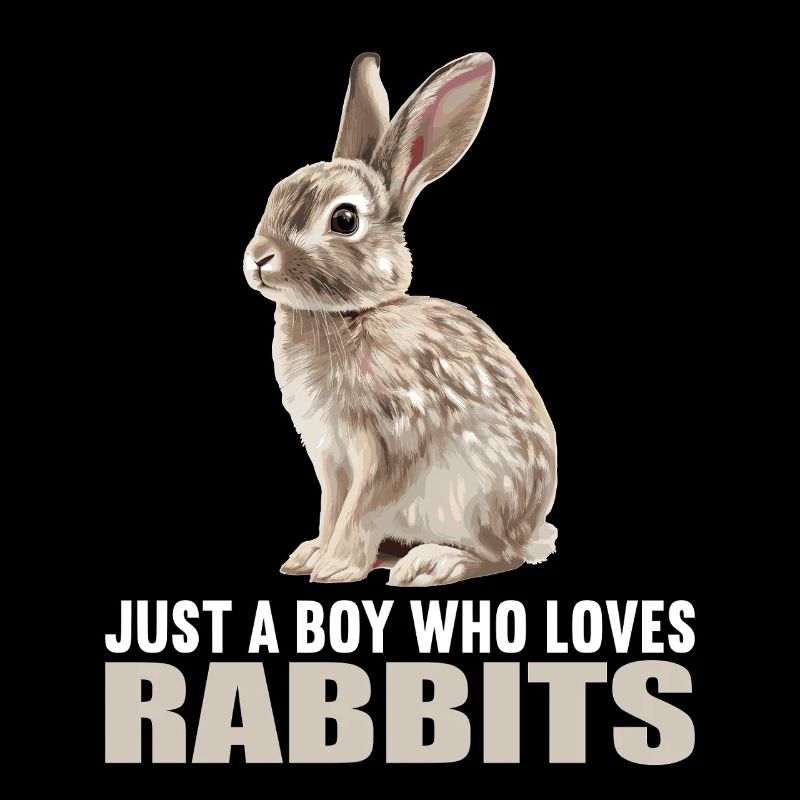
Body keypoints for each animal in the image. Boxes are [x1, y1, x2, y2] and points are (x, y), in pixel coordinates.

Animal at [243, 52, 557, 586]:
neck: (353, 314)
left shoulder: (388, 447)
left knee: (501, 556)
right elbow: (333, 509)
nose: (259, 258)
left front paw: (334, 567)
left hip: (477, 499)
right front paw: (309, 556)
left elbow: (360, 511)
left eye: (344, 220)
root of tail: (533, 528)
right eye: (277, 193)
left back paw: (433, 562)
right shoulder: (330, 459)